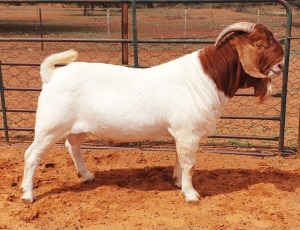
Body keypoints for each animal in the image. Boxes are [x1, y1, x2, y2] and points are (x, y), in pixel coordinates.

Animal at [21, 22, 284, 204]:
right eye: (260, 44)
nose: (282, 65)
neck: (208, 77)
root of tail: (52, 75)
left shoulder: (181, 134)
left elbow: (179, 159)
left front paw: (177, 182)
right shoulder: (189, 133)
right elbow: (190, 164)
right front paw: (191, 195)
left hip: (77, 127)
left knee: (72, 146)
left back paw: (87, 176)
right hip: (49, 126)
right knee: (32, 155)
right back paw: (27, 195)